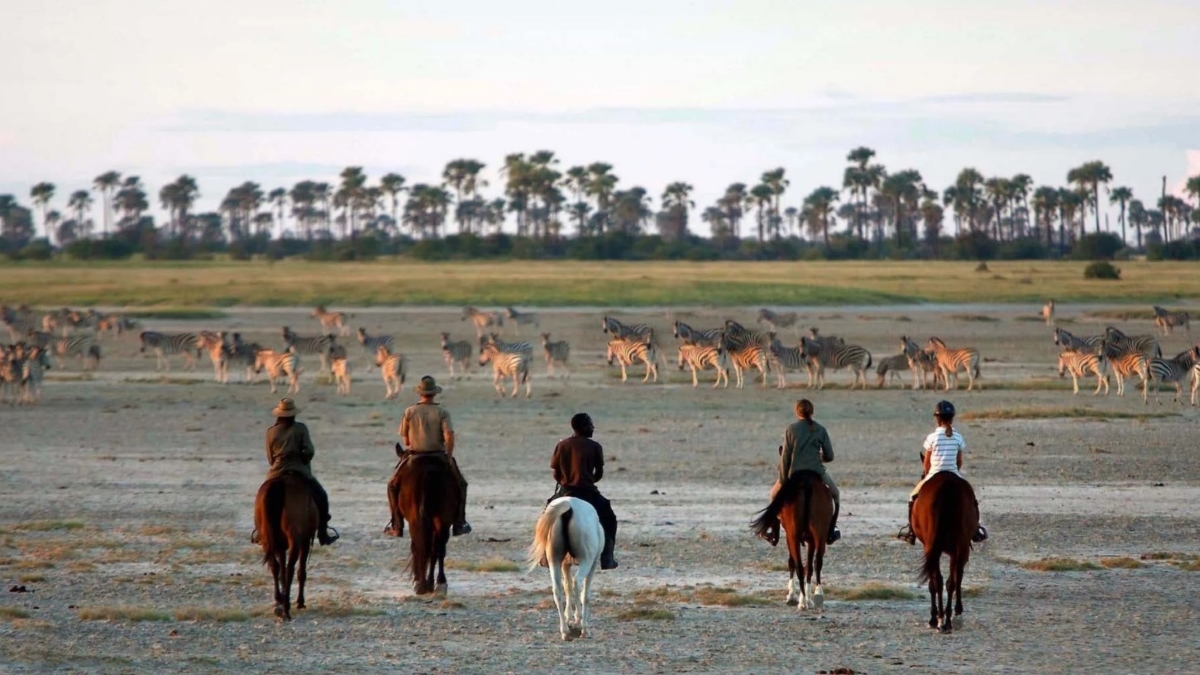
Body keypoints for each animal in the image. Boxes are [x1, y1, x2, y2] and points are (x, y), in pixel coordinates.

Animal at [253, 468, 319, 619]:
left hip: (267, 539)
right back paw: (286, 608)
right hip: (295, 540)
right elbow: (301, 570)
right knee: (291, 568)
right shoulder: (305, 541)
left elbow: (281, 568)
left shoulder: (280, 545)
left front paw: (281, 598)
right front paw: (300, 602)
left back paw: (279, 601)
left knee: (275, 566)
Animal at [398, 451, 463, 593]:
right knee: (437, 548)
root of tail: (427, 471)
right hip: (441, 520)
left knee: (421, 546)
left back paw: (423, 583)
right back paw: (438, 582)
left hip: (418, 520)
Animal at [528, 497, 604, 638]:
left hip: (554, 560)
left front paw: (568, 617)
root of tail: (569, 505)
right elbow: (585, 595)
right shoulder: (593, 564)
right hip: (587, 561)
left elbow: (567, 587)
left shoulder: (564, 565)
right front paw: (580, 623)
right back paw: (580, 624)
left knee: (557, 590)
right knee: (577, 583)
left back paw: (565, 631)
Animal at [748, 468, 835, 610]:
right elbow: (809, 567)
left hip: (793, 536)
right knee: (817, 562)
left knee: (799, 566)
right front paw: (808, 598)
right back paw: (816, 596)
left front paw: (792, 596)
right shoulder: (810, 539)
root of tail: (807, 482)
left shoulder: (790, 536)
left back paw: (802, 602)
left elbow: (791, 562)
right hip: (819, 534)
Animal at [912, 468, 979, 629]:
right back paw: (945, 619)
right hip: (956, 547)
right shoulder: (961, 551)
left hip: (938, 548)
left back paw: (939, 618)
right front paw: (957, 610)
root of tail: (946, 484)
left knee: (940, 581)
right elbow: (956, 577)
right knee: (948, 581)